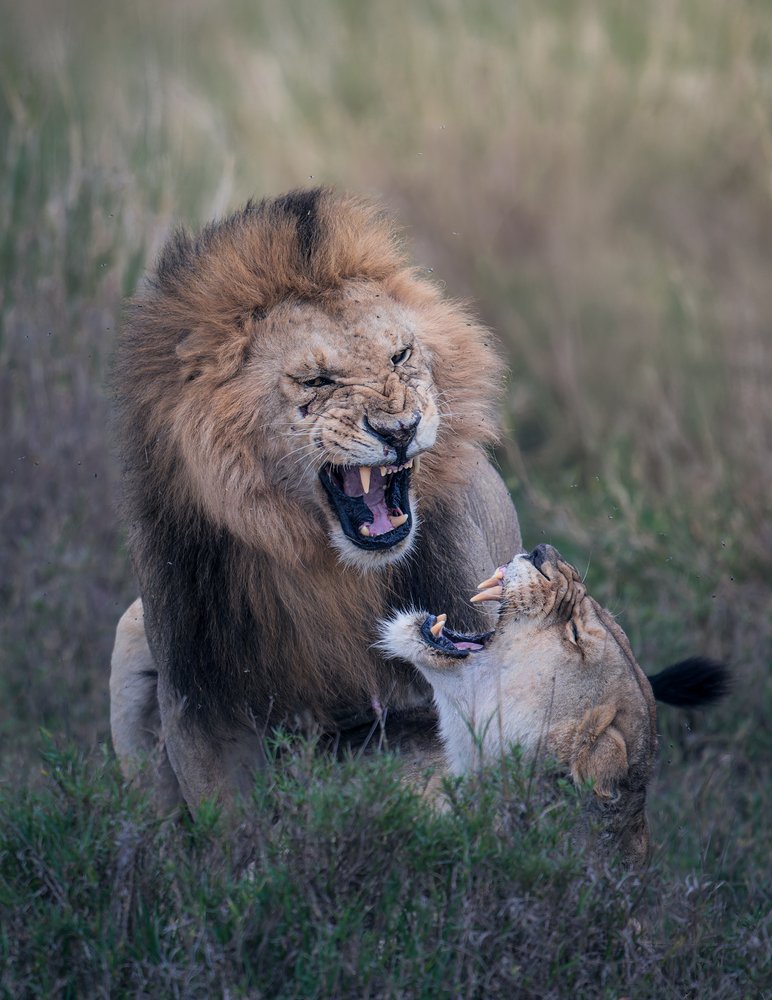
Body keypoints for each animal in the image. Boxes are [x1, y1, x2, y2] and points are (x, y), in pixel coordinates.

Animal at [110, 188, 521, 811]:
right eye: (318, 381)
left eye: (401, 356)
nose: (401, 428)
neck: (325, 566)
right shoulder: (199, 707)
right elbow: (227, 820)